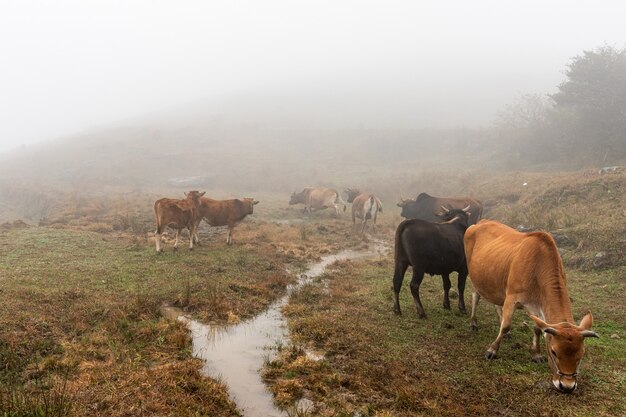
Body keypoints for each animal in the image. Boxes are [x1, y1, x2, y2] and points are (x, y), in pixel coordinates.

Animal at [464, 219, 596, 392]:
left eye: (581, 355)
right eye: (554, 352)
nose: (567, 386)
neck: (537, 268)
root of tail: (481, 222)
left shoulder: (537, 308)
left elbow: (537, 329)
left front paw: (536, 354)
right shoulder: (512, 297)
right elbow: (506, 325)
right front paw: (492, 350)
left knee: (497, 305)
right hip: (474, 276)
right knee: (476, 297)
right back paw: (473, 323)